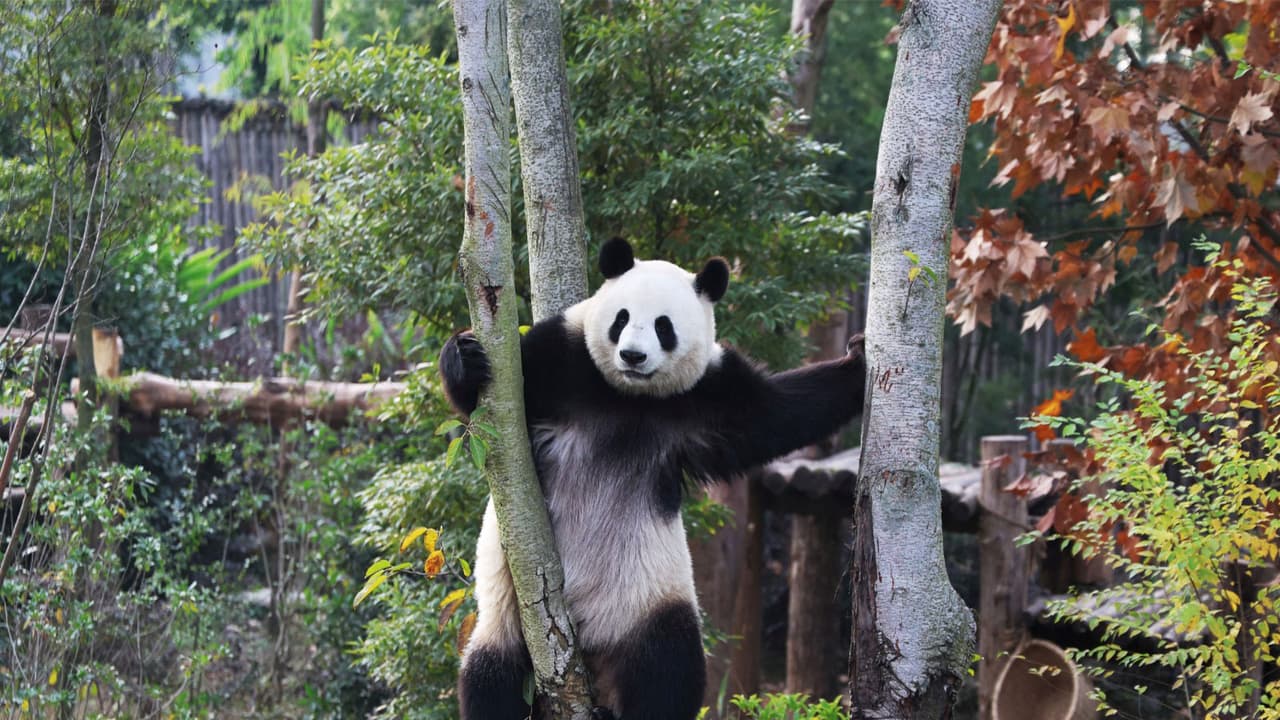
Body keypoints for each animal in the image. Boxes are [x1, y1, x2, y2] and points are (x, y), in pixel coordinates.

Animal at [440, 237, 866, 720]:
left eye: (664, 327)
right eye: (621, 318)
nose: (632, 356)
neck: (629, 396)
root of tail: (592, 654)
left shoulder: (709, 395)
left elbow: (779, 414)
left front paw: (857, 361)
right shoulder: (561, 357)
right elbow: (484, 407)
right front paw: (467, 357)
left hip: (647, 601)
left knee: (669, 666)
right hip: (507, 617)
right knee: (491, 675)